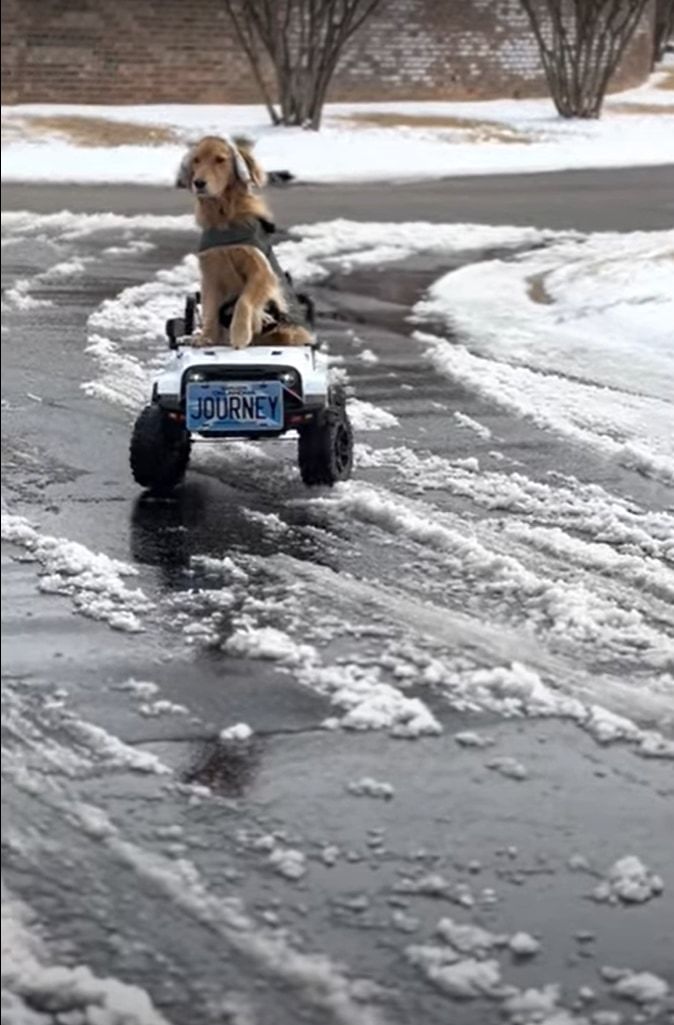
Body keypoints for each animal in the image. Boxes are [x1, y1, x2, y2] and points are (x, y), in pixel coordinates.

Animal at [173, 136, 309, 348]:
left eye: (220, 160)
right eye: (196, 160)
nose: (198, 183)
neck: (224, 218)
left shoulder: (262, 270)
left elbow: (243, 300)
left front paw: (240, 333)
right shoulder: (211, 271)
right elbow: (210, 309)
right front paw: (205, 337)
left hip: (291, 333)